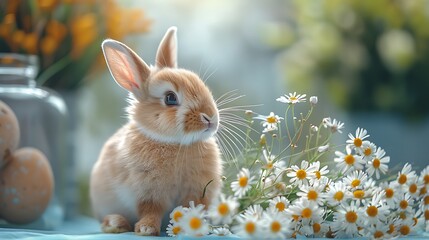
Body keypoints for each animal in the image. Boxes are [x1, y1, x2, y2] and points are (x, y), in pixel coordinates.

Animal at [90, 26, 224, 236]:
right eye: (170, 98)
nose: (210, 117)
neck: (176, 143)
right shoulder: (149, 192)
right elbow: (150, 210)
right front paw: (146, 229)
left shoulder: (196, 191)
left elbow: (192, 209)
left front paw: (196, 228)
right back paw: (115, 223)